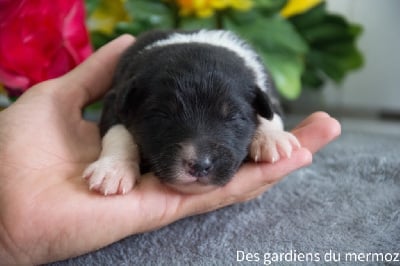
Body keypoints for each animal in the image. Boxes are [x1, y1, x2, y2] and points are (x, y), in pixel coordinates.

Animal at [82, 29, 300, 195]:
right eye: (161, 115)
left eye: (233, 117)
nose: (199, 165)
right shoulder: (116, 97)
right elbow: (117, 132)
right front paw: (113, 168)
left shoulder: (267, 91)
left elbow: (271, 113)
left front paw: (272, 138)